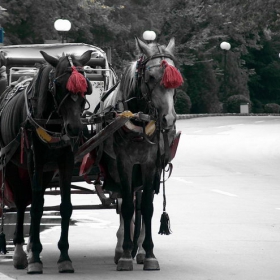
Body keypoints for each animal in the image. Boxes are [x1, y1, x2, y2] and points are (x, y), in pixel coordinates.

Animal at [0, 49, 93, 274]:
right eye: (59, 86)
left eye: (85, 87)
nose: (75, 128)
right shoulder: (35, 160)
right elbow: (35, 208)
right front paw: (34, 258)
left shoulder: (65, 160)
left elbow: (65, 206)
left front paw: (64, 257)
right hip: (12, 163)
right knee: (22, 202)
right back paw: (21, 251)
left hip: (46, 171)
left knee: (35, 197)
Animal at [97, 37, 183, 272]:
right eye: (151, 77)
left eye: (176, 80)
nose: (168, 119)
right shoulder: (124, 163)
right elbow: (126, 206)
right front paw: (126, 254)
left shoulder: (150, 164)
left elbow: (147, 208)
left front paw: (149, 252)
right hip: (115, 168)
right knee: (122, 201)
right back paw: (122, 246)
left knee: (139, 202)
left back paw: (140, 248)